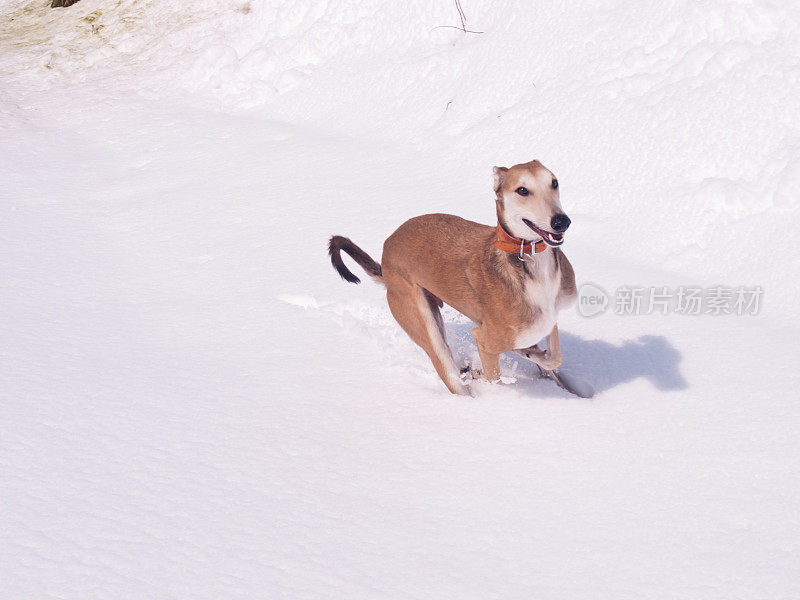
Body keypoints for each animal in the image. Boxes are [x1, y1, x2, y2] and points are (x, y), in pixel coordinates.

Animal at [328, 157, 580, 396]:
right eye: (522, 190)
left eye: (554, 182)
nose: (561, 222)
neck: (529, 262)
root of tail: (387, 248)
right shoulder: (487, 338)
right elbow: (493, 375)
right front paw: (480, 373)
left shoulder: (547, 320)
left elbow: (553, 356)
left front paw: (532, 354)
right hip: (425, 326)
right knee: (451, 375)